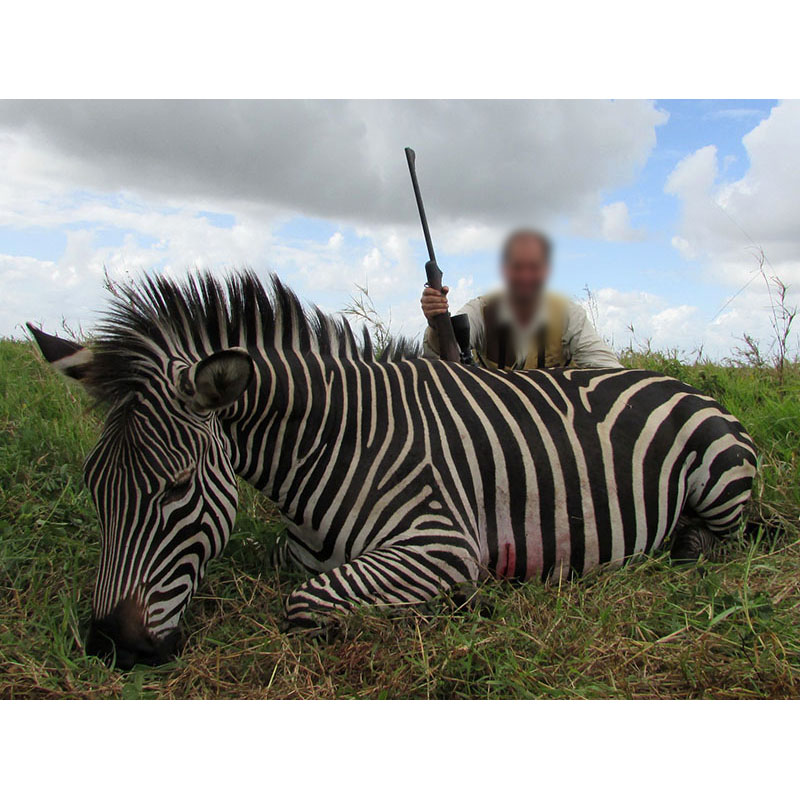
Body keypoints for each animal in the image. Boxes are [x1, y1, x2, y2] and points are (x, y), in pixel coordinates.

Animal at [26, 276, 756, 668]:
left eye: (177, 488)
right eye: (94, 487)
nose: (112, 644)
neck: (334, 443)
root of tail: (679, 380)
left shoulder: (440, 543)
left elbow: (305, 604)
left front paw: (454, 608)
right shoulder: (303, 552)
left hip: (718, 484)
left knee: (721, 544)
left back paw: (682, 549)